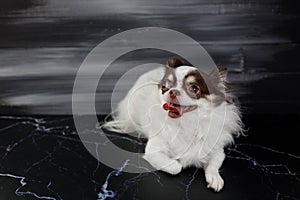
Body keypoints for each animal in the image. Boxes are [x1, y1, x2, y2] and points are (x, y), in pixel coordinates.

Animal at [102, 57, 243, 191]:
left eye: (194, 89)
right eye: (165, 86)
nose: (172, 91)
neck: (187, 124)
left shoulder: (218, 150)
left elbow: (215, 163)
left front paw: (215, 178)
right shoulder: (153, 151)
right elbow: (176, 167)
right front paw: (180, 162)